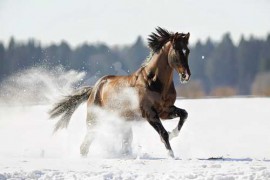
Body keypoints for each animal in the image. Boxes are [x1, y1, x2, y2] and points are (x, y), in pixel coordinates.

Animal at [49, 27, 192, 158]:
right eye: (177, 50)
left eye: (188, 51)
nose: (186, 76)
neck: (153, 82)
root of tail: (94, 89)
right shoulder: (150, 114)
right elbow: (163, 133)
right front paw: (171, 154)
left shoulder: (165, 110)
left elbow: (184, 114)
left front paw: (173, 134)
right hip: (95, 120)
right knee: (85, 145)